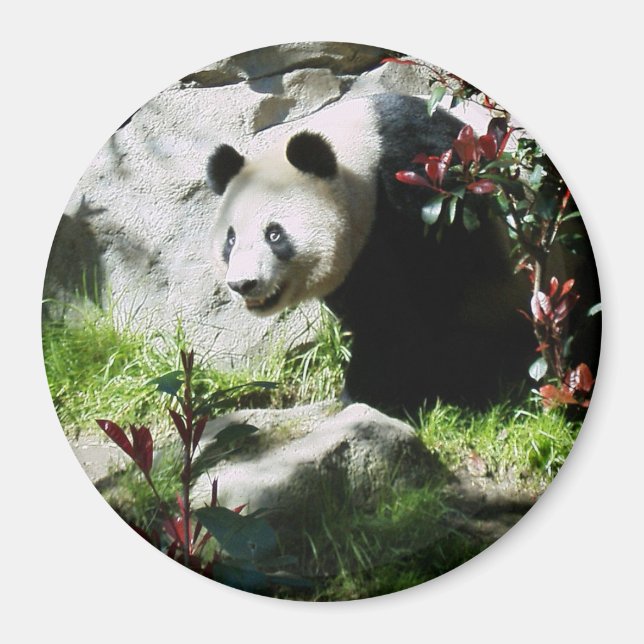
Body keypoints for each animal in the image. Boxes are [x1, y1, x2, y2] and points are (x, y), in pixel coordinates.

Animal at [205, 94, 585, 412]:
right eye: (231, 240)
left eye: (274, 234)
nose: (243, 284)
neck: (361, 153)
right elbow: (375, 309)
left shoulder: (427, 190)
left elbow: (424, 297)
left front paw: (378, 391)